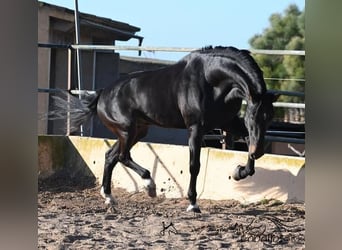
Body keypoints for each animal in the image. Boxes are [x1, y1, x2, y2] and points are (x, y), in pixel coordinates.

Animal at [52, 46, 278, 212]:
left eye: (270, 118)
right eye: (252, 116)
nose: (258, 152)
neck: (210, 80)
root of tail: (102, 93)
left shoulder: (227, 123)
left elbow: (247, 143)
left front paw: (239, 172)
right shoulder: (196, 128)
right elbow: (194, 165)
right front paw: (193, 204)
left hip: (138, 131)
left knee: (111, 156)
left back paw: (109, 198)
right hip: (127, 130)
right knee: (123, 156)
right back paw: (149, 186)